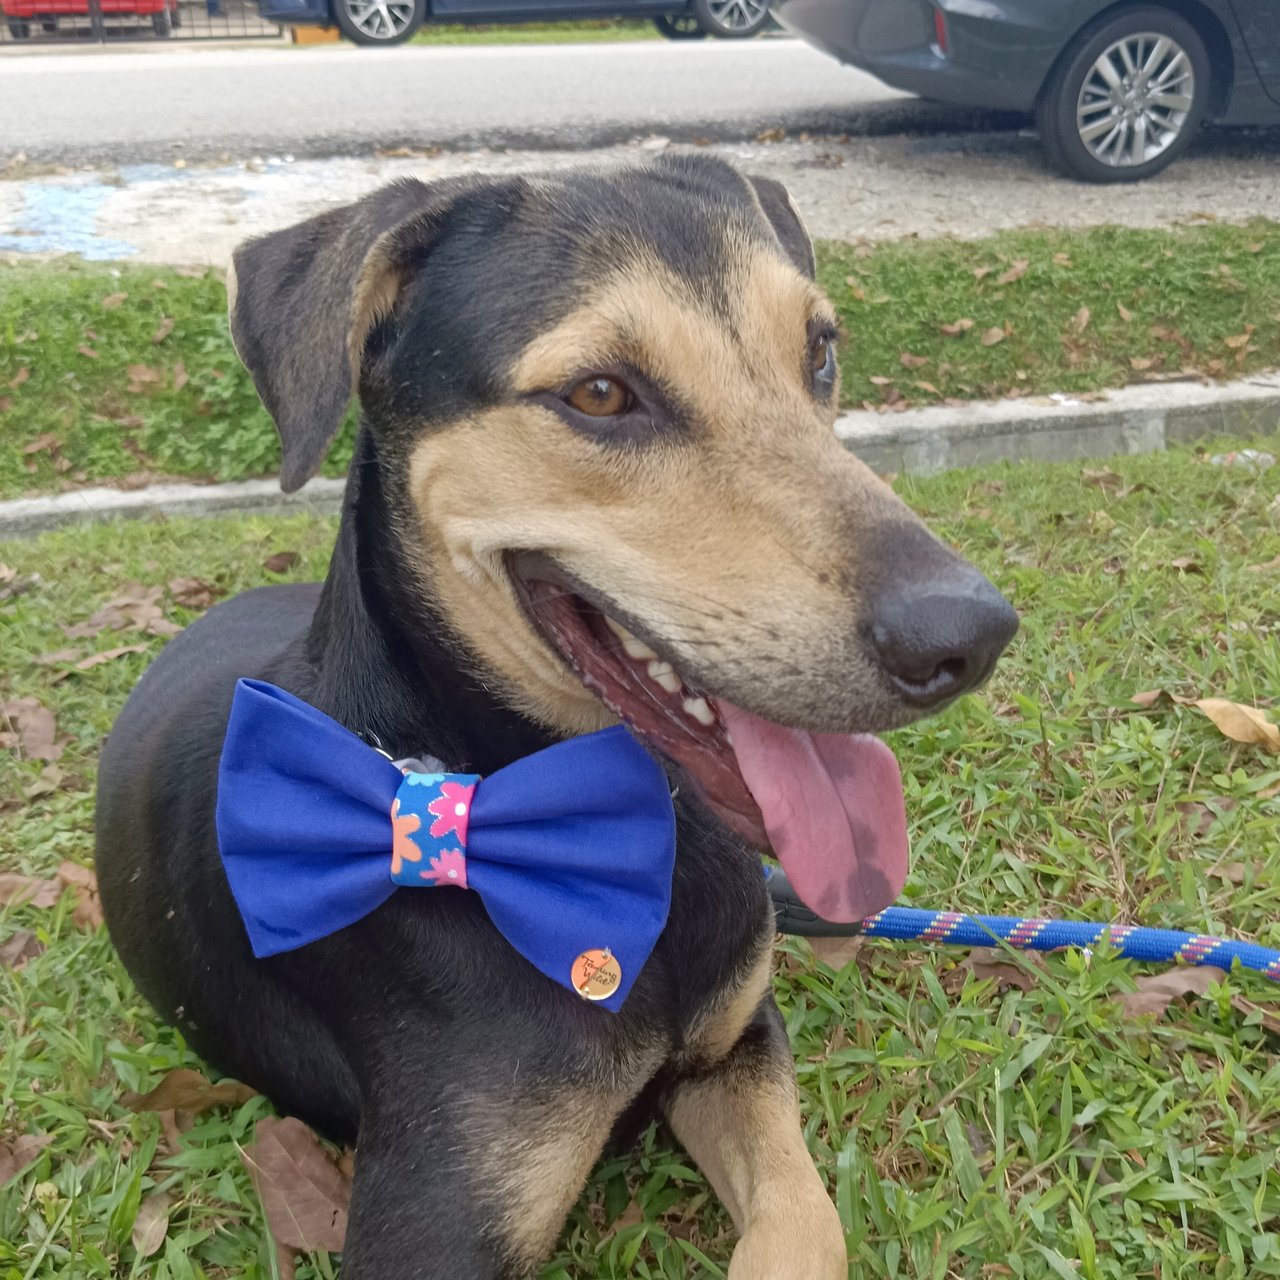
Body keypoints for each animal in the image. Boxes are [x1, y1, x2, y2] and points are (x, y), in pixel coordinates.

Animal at [94, 157, 1013, 1280]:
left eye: (819, 352)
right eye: (600, 394)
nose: (968, 635)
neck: (614, 834)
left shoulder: (738, 1046)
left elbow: (805, 1219)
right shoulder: (435, 1223)